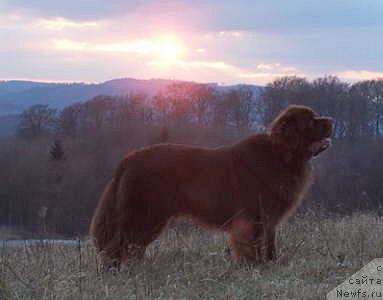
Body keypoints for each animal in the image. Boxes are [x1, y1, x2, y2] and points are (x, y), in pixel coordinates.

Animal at [90, 105, 332, 268]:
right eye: (311, 122)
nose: (331, 119)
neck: (280, 156)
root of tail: (129, 159)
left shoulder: (269, 220)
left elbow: (269, 244)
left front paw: (270, 264)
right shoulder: (252, 218)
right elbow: (252, 246)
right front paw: (254, 267)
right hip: (144, 215)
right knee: (118, 244)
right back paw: (115, 271)